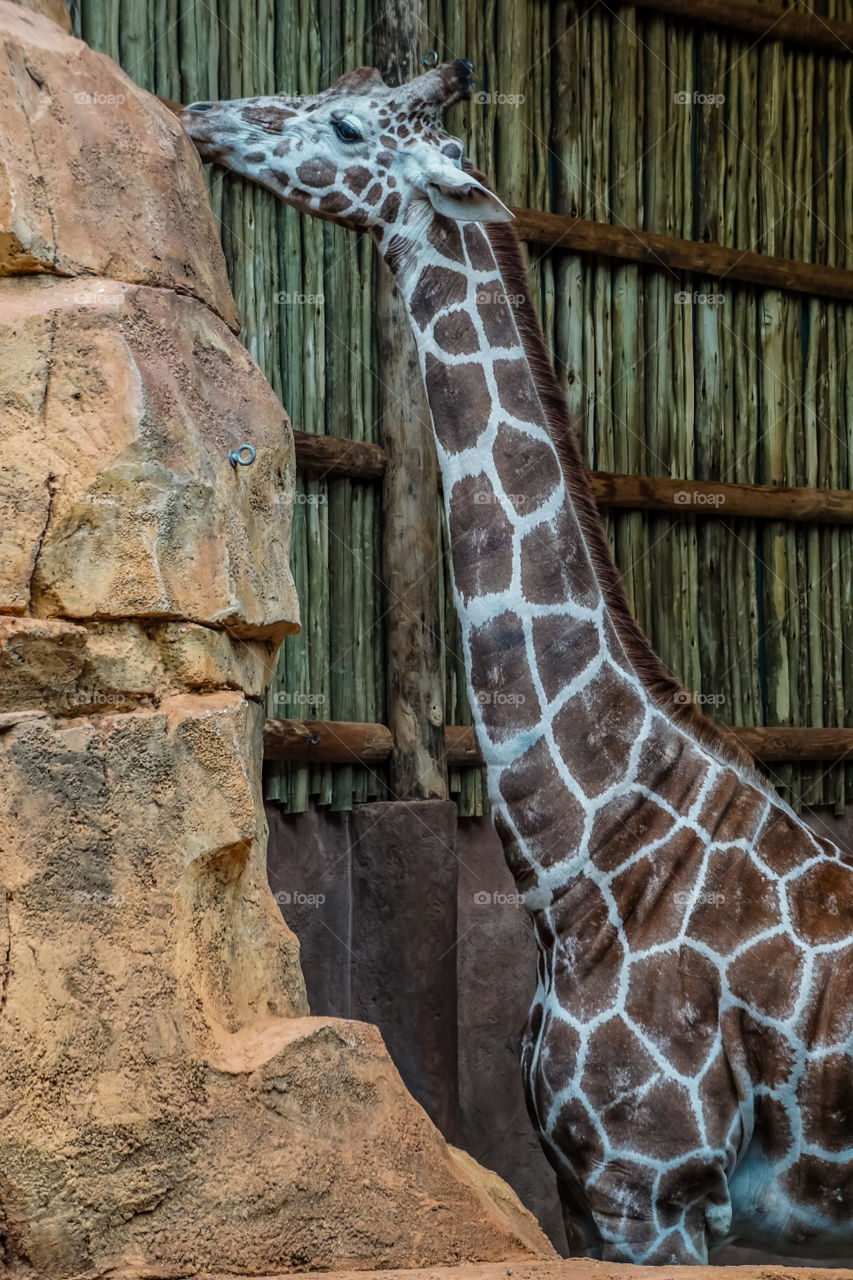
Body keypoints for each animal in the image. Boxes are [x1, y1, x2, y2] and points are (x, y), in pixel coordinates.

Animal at [179, 60, 853, 1265]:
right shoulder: (584, 1193)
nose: (203, 114)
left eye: (346, 124)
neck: (590, 842)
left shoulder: (653, 1188)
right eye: (345, 82)